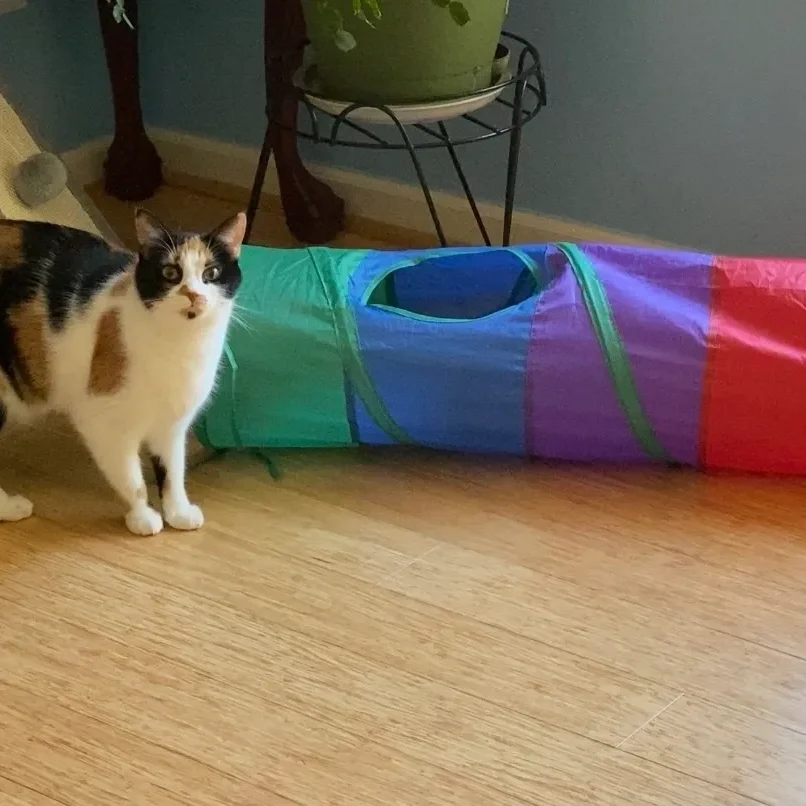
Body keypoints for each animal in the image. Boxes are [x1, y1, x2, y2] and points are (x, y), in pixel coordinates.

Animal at [0, 208, 248, 536]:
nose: (194, 295)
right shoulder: (102, 420)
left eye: (212, 273)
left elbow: (173, 470)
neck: (178, 347)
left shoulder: (172, 424)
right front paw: (143, 517)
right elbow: (132, 479)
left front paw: (178, 512)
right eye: (170, 273)